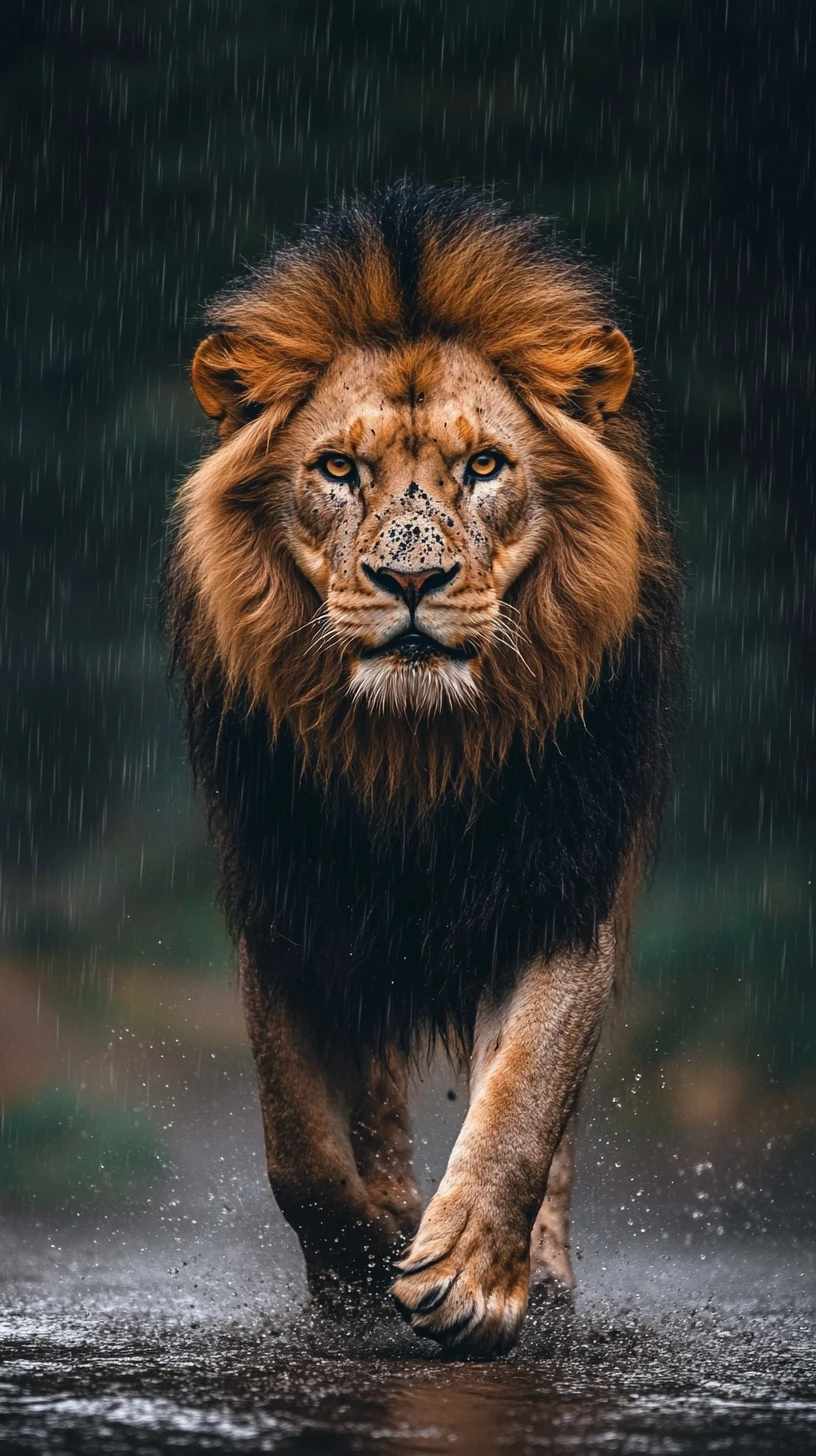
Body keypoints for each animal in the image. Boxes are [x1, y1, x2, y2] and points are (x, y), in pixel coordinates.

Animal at [164, 183, 683, 1358]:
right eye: (338, 469)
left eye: (484, 466)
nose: (413, 580)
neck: (416, 758)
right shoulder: (289, 898)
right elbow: (301, 1145)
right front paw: (363, 1269)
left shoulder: (562, 887)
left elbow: (528, 1091)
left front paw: (472, 1280)